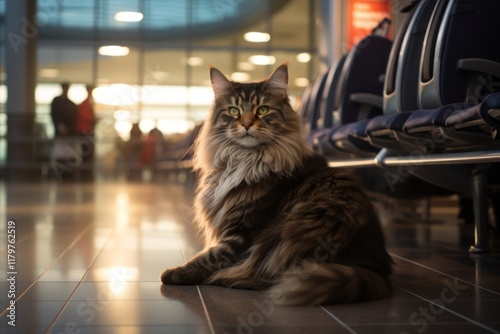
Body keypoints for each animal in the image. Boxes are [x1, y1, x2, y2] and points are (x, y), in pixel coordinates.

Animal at [161, 63, 394, 306]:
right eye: (234, 111)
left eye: (262, 110)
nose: (246, 124)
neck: (243, 159)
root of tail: (375, 268)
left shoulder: (240, 233)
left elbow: (209, 257)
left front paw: (174, 273)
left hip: (288, 232)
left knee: (273, 276)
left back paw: (227, 278)